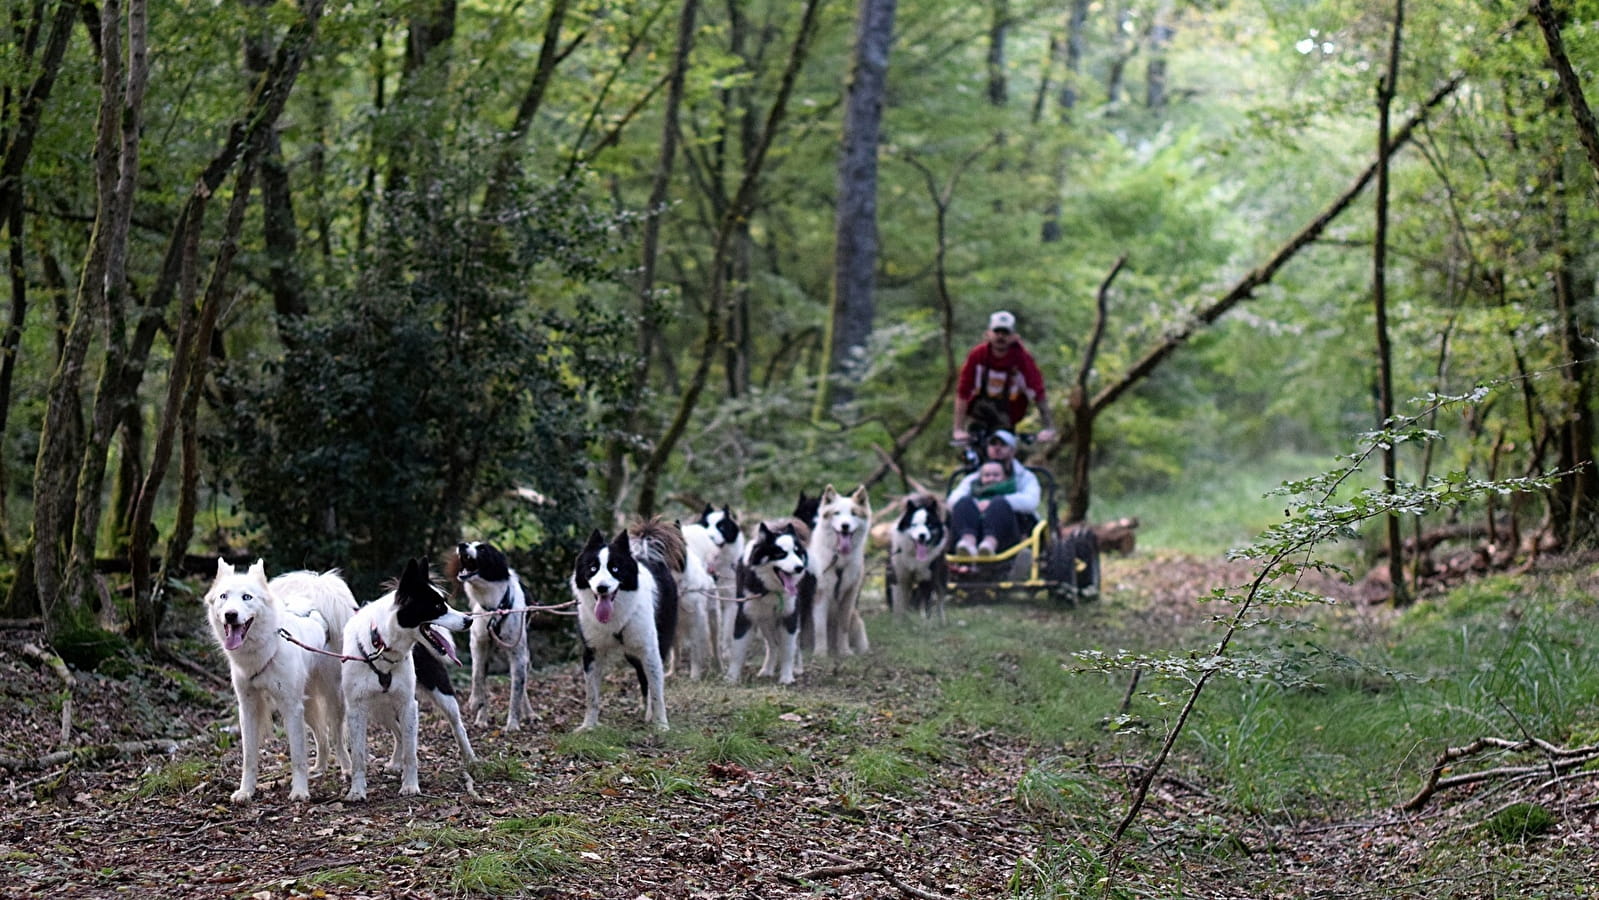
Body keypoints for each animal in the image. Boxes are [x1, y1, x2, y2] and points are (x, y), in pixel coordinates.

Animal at [343, 556, 473, 802]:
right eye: (437, 607)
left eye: (445, 602)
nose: (469, 620)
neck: (381, 647)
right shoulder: (356, 709)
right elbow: (357, 757)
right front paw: (357, 791)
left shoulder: (408, 704)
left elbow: (411, 753)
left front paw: (411, 786)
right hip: (380, 708)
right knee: (397, 732)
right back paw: (395, 763)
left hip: (441, 693)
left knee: (457, 725)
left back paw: (471, 758)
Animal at [450, 543, 530, 732]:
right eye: (470, 543)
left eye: (483, 549)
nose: (461, 545)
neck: (494, 606)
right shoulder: (478, 644)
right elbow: (477, 675)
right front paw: (475, 702)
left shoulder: (517, 653)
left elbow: (516, 690)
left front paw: (512, 724)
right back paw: (481, 719)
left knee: (522, 682)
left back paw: (530, 713)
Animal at [572, 527, 677, 732]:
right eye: (592, 568)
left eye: (615, 569)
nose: (602, 588)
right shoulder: (592, 651)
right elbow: (591, 696)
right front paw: (588, 727)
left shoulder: (650, 650)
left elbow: (657, 692)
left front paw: (662, 725)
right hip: (632, 655)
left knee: (650, 681)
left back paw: (650, 715)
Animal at [732, 517, 818, 687]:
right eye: (780, 553)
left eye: (796, 552)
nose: (799, 568)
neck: (770, 590)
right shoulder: (745, 614)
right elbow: (738, 648)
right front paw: (731, 678)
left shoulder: (790, 616)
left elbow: (788, 649)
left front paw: (786, 677)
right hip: (766, 621)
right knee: (772, 645)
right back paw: (767, 670)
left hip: (800, 612)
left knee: (796, 643)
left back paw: (797, 668)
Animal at [889, 492, 946, 626]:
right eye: (914, 525)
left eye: (929, 525)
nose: (922, 536)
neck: (914, 556)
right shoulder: (900, 577)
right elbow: (900, 603)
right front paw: (899, 623)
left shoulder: (927, 578)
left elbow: (926, 604)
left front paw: (925, 622)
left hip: (939, 576)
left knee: (940, 597)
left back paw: (942, 622)